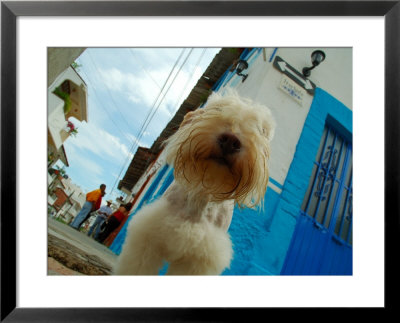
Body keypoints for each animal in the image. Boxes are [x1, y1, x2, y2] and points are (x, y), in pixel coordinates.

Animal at [114, 92, 274, 276]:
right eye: (217, 108)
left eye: (261, 129)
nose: (230, 141)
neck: (203, 191)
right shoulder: (148, 238)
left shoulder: (198, 258)